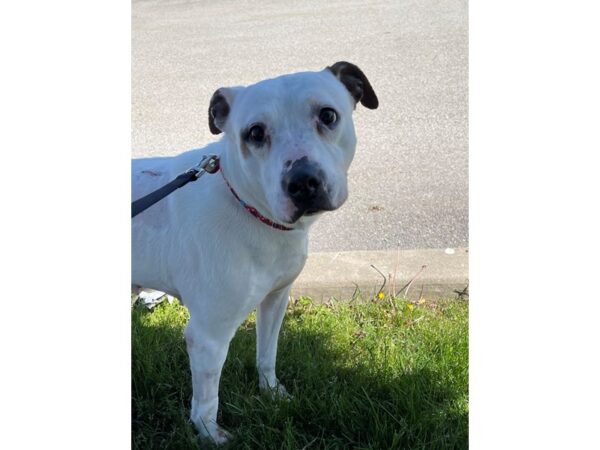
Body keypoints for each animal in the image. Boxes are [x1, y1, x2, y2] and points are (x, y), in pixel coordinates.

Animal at [131, 60, 378, 442]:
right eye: (255, 132)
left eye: (328, 115)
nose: (303, 181)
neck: (248, 207)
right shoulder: (208, 335)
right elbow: (207, 399)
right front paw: (209, 434)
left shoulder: (276, 300)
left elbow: (267, 353)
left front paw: (272, 392)